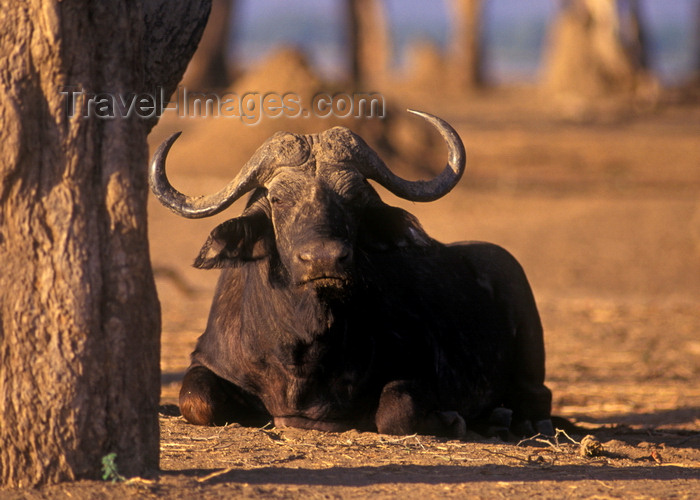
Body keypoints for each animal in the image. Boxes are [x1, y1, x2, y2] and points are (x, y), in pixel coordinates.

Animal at [152, 110, 552, 438]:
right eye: (278, 199)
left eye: (355, 197)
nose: (324, 259)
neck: (302, 348)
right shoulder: (205, 361)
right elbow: (196, 399)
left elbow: (396, 410)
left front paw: (453, 421)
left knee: (537, 400)